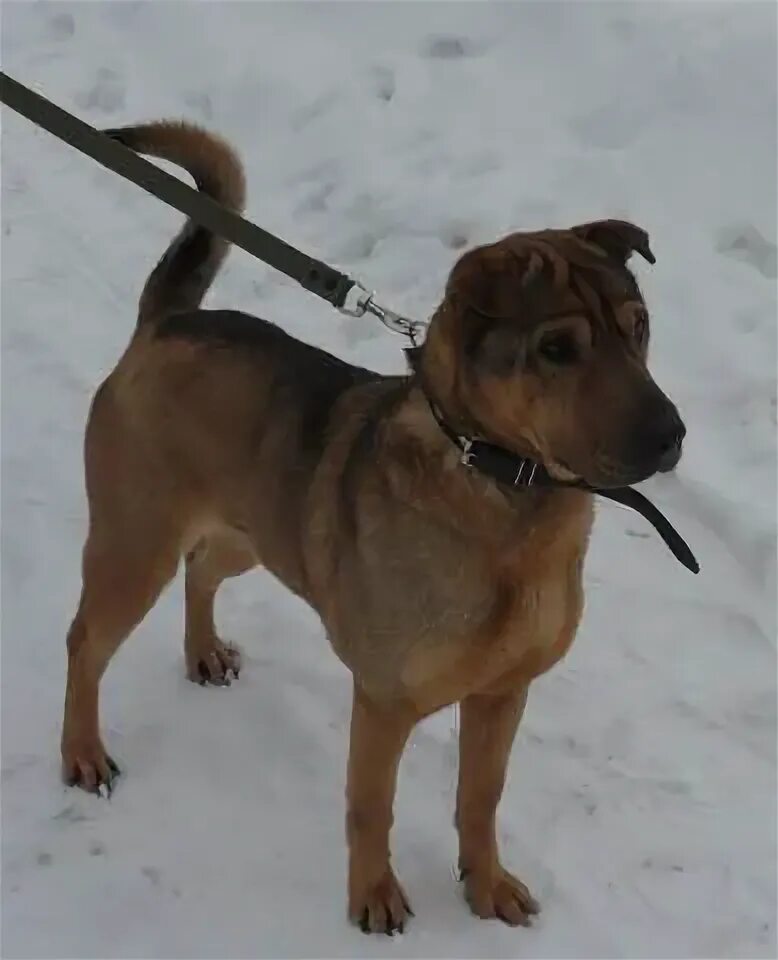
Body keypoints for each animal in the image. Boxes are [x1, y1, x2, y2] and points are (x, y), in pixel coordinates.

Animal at [60, 118, 684, 928]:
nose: (671, 436)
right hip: (136, 543)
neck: (505, 483)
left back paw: (203, 652)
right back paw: (81, 751)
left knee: (203, 569)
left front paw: (486, 886)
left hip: (257, 531)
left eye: (640, 329)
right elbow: (371, 805)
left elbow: (481, 797)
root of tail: (167, 323)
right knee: (86, 644)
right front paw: (374, 896)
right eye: (556, 349)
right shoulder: (385, 702)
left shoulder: (503, 693)